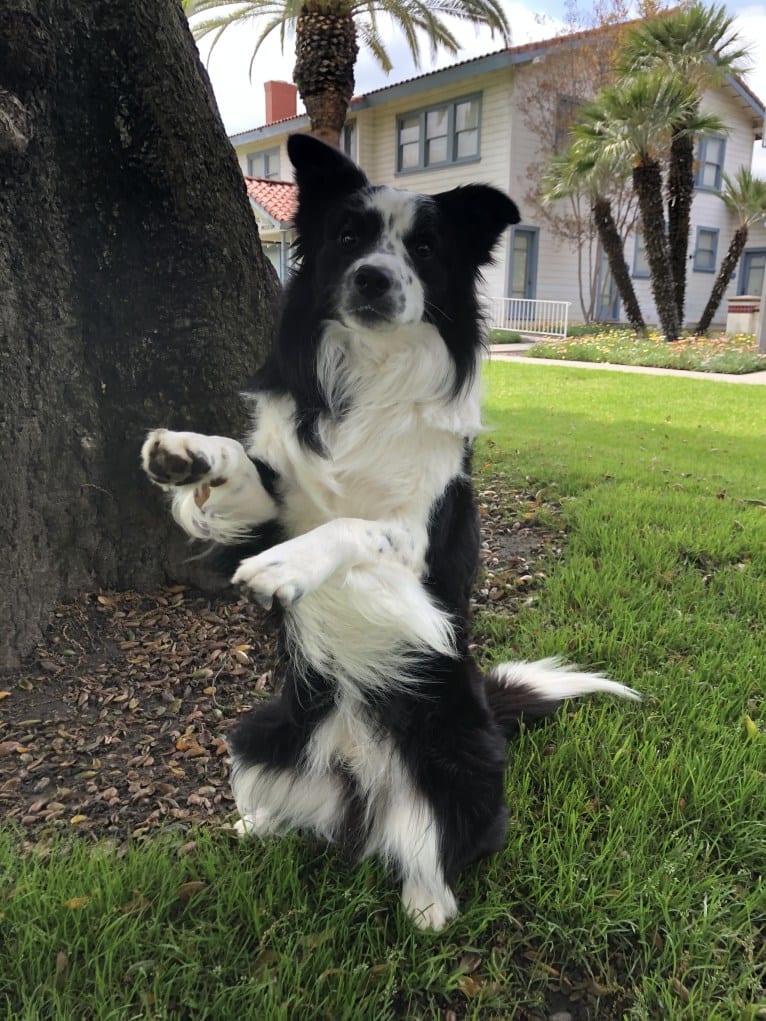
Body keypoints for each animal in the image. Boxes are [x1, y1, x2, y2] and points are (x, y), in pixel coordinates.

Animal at [140, 137, 637, 935]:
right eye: (349, 235)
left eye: (425, 247)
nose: (373, 278)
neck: (373, 375)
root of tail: (358, 786)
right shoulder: (271, 506)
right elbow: (244, 470)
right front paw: (189, 457)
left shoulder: (422, 574)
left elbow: (354, 525)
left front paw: (286, 569)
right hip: (259, 733)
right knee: (278, 804)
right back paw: (252, 826)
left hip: (453, 769)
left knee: (435, 851)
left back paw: (426, 907)